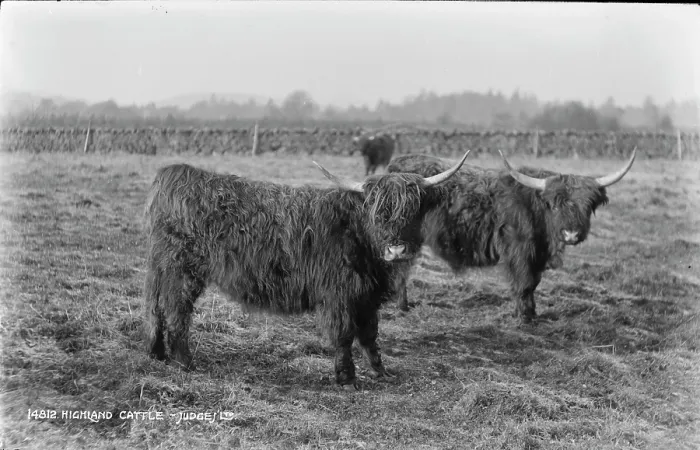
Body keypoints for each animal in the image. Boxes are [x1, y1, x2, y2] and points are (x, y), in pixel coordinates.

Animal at [143, 150, 471, 388]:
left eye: (413, 209)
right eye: (376, 211)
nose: (396, 249)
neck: (357, 236)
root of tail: (176, 174)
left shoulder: (366, 296)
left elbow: (370, 334)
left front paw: (380, 371)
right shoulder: (339, 294)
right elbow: (344, 335)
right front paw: (347, 378)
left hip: (162, 267)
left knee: (156, 307)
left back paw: (156, 353)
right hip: (182, 270)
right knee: (176, 310)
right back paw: (184, 362)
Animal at [387, 148, 637, 322]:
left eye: (587, 205)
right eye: (555, 205)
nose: (571, 234)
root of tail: (396, 168)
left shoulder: (537, 256)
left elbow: (534, 283)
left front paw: (532, 313)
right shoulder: (519, 249)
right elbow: (524, 283)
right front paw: (524, 317)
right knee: (400, 269)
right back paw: (402, 306)